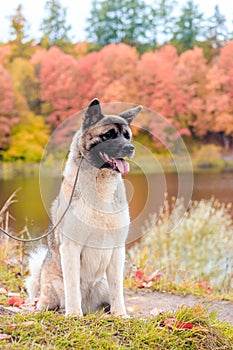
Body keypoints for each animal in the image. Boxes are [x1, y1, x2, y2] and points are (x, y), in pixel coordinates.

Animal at [25, 98, 142, 318]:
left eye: (127, 135)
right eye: (108, 135)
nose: (130, 148)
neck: (100, 184)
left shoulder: (117, 249)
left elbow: (118, 289)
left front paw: (120, 315)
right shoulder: (71, 247)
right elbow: (72, 287)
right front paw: (73, 315)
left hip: (102, 283)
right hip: (51, 285)